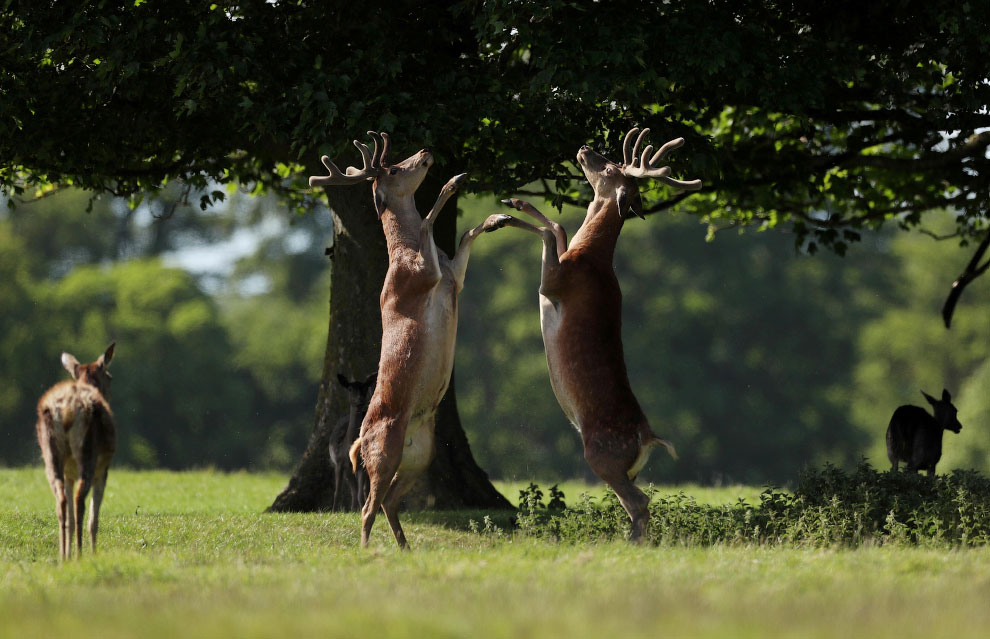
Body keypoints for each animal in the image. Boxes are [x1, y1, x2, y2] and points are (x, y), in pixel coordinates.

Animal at [36, 344, 117, 560]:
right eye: (110, 377)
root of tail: (67, 409)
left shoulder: (69, 474)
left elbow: (70, 520)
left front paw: (68, 552)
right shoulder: (104, 470)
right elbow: (93, 520)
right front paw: (93, 552)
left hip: (50, 454)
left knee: (61, 501)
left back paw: (63, 556)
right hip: (88, 452)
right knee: (80, 500)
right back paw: (80, 554)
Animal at [334, 372, 380, 512]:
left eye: (365, 387)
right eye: (350, 388)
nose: (360, 399)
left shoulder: (361, 466)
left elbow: (360, 492)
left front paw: (361, 510)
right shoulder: (339, 463)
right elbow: (337, 491)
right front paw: (334, 510)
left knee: (364, 489)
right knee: (353, 489)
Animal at [494, 127, 696, 544]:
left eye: (610, 168)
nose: (586, 147)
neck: (590, 258)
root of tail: (648, 437)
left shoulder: (555, 284)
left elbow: (549, 232)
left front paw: (504, 215)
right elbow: (558, 228)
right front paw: (512, 201)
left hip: (600, 456)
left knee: (639, 502)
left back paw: (632, 545)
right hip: (621, 466)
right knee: (638, 499)